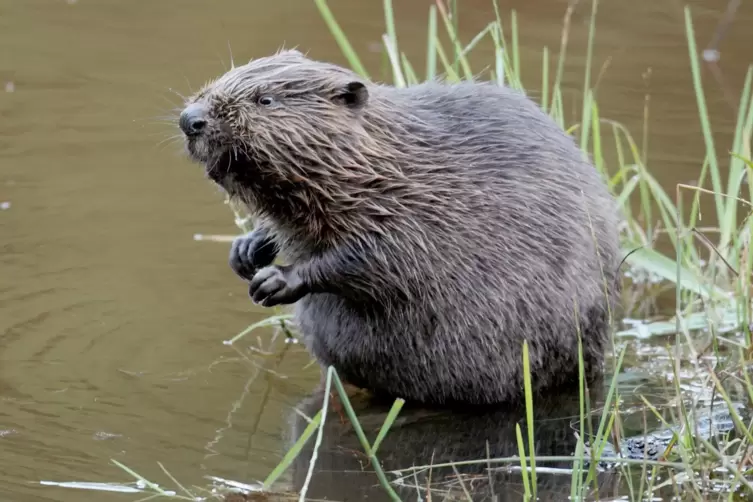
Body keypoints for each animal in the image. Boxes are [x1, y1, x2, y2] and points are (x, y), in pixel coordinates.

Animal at [178, 49, 624, 406]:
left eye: (265, 99)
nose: (190, 119)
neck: (384, 160)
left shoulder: (416, 211)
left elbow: (378, 259)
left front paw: (275, 281)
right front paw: (246, 251)